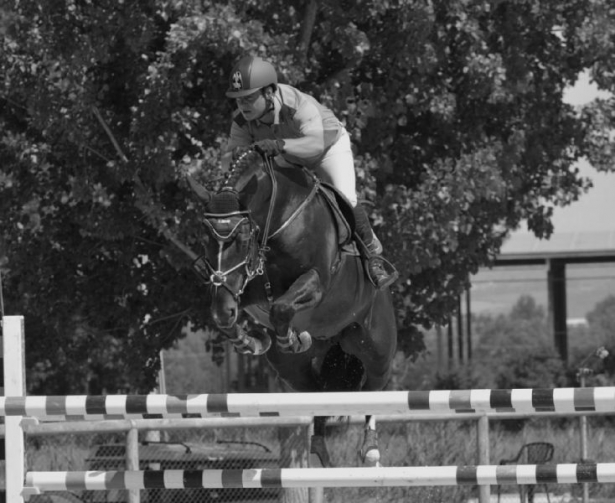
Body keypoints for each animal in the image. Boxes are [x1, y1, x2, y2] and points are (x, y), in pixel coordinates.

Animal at [192, 154, 400, 468]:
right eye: (204, 238)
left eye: (242, 238)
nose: (226, 307)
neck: (278, 218)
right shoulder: (246, 288)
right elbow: (238, 313)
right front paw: (252, 340)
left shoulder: (316, 281)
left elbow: (280, 307)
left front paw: (289, 338)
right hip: (292, 371)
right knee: (318, 393)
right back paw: (319, 449)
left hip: (375, 348)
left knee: (373, 389)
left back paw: (370, 447)